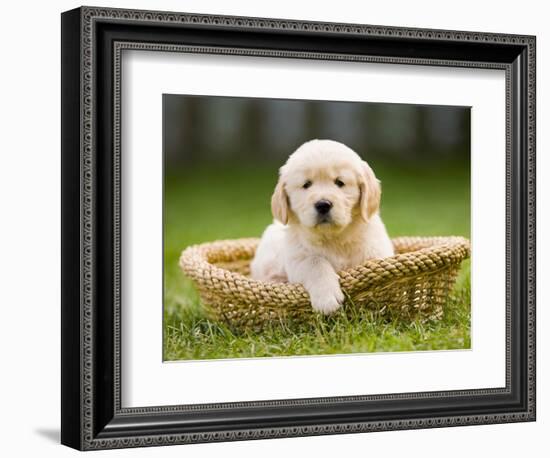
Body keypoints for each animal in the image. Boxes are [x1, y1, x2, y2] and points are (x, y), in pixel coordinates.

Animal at [252, 138, 394, 314]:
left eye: (340, 182)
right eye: (306, 185)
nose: (323, 205)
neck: (334, 238)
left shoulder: (377, 250)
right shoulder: (297, 257)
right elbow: (315, 262)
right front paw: (327, 299)